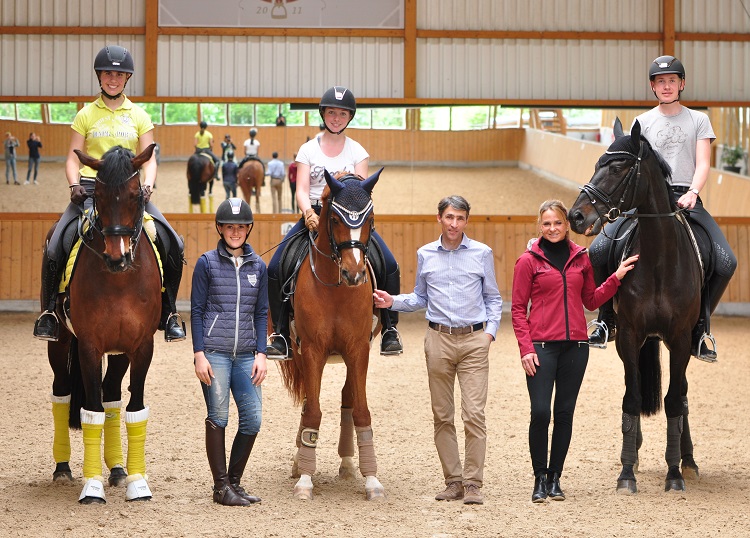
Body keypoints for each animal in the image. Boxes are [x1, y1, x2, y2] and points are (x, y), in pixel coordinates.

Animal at [45, 143, 163, 502]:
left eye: (135, 195)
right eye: (96, 195)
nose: (116, 258)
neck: (120, 281)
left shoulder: (141, 346)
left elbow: (134, 410)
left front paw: (137, 481)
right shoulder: (89, 346)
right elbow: (92, 412)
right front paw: (92, 486)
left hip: (120, 351)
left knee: (111, 395)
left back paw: (118, 470)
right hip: (61, 343)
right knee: (62, 393)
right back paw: (63, 469)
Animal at [280, 168, 388, 498]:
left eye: (369, 218)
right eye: (337, 219)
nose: (354, 274)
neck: (337, 289)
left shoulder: (359, 349)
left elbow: (361, 411)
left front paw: (372, 481)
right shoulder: (312, 350)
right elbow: (313, 411)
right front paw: (304, 480)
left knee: (347, 397)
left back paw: (348, 465)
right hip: (299, 351)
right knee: (308, 402)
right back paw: (299, 463)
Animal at [568, 119, 704, 492]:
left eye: (617, 167)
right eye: (597, 163)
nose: (575, 216)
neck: (658, 259)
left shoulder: (680, 340)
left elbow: (674, 401)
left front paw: (674, 473)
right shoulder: (629, 336)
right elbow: (632, 397)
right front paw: (627, 472)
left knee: (682, 395)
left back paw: (688, 460)